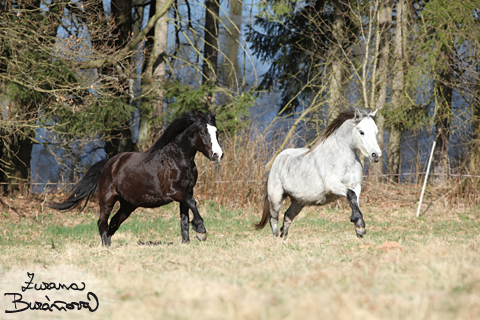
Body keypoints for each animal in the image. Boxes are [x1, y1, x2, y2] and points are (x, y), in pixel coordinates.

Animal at [49, 109, 222, 245]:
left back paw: (109, 244)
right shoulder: (172, 191)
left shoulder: (186, 192)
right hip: (107, 199)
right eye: (202, 132)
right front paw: (201, 230)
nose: (217, 155)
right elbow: (193, 203)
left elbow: (185, 218)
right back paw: (105, 246)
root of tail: (109, 163)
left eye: (217, 132)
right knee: (102, 222)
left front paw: (187, 241)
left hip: (128, 205)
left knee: (114, 222)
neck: (177, 158)